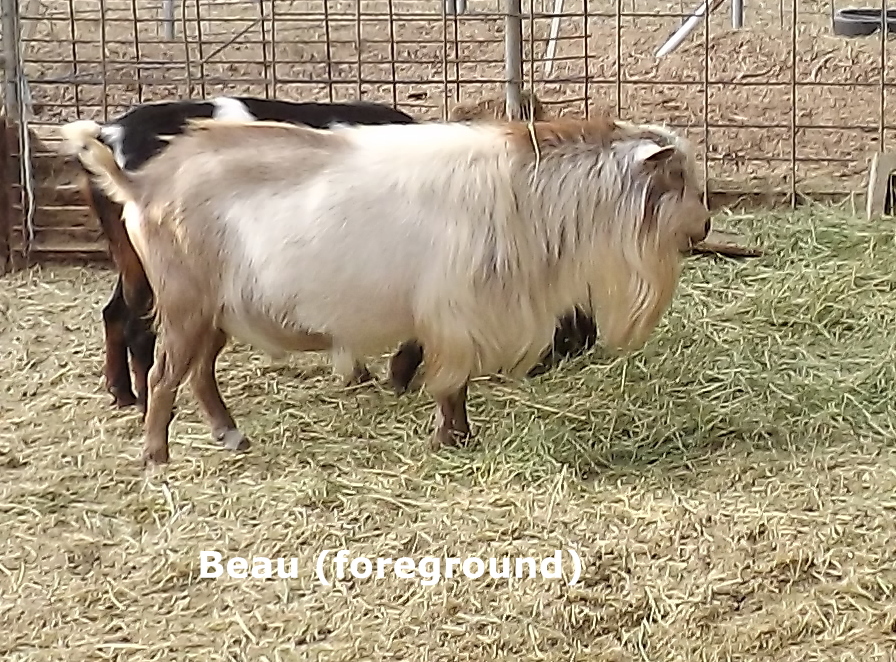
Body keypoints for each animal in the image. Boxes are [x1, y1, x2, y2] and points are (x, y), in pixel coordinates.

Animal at [61, 114, 711, 466]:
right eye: (678, 177)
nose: (704, 227)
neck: (527, 194)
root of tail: (142, 185)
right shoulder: (454, 312)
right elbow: (450, 383)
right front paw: (453, 438)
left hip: (219, 309)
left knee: (199, 372)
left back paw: (230, 436)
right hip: (184, 301)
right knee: (165, 373)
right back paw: (156, 455)